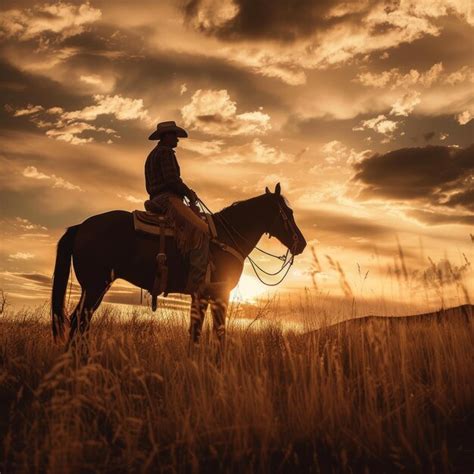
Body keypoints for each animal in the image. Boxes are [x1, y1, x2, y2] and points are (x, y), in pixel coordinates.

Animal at [51, 183, 308, 354]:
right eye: (289, 213)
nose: (302, 244)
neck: (225, 238)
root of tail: (81, 226)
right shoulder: (219, 294)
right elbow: (217, 332)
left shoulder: (201, 295)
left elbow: (196, 332)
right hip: (96, 287)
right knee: (79, 321)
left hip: (93, 288)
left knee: (80, 322)